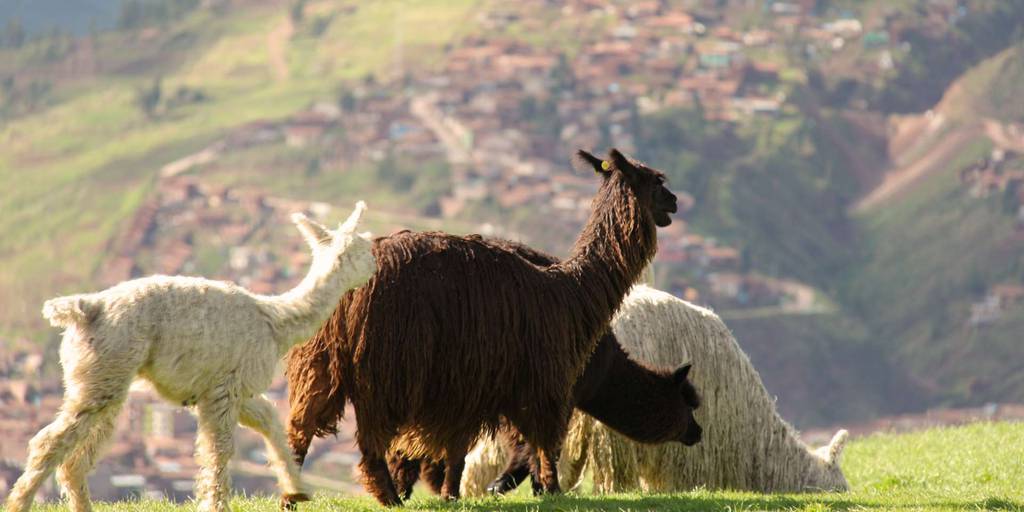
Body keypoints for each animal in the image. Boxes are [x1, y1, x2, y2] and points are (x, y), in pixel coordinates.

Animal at [8, 201, 376, 509]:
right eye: (364, 246)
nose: (375, 265)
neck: (274, 319)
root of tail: (84, 308)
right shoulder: (223, 391)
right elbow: (219, 451)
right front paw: (216, 505)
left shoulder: (234, 389)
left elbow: (269, 421)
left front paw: (296, 490)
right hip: (103, 375)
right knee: (47, 443)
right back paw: (19, 504)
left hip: (103, 381)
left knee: (75, 460)